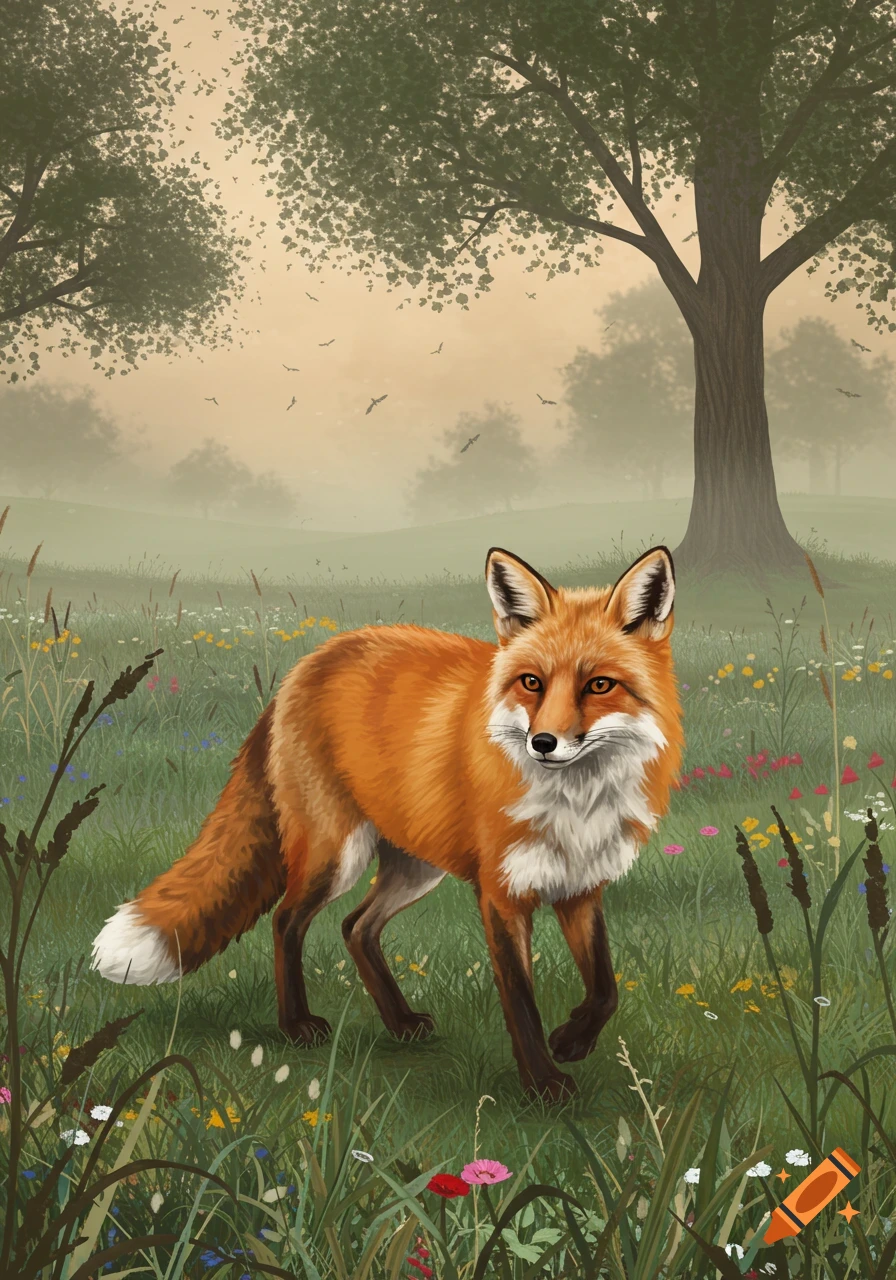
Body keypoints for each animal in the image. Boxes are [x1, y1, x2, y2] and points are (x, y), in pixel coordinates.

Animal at [91, 544, 684, 1102]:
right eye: (532, 682)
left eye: (599, 685)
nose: (543, 742)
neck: (576, 802)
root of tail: (304, 666)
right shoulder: (501, 893)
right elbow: (521, 1001)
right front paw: (543, 1085)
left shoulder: (580, 886)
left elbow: (606, 988)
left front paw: (573, 1040)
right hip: (339, 855)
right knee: (286, 920)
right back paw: (296, 1024)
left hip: (416, 866)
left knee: (356, 927)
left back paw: (398, 1022)